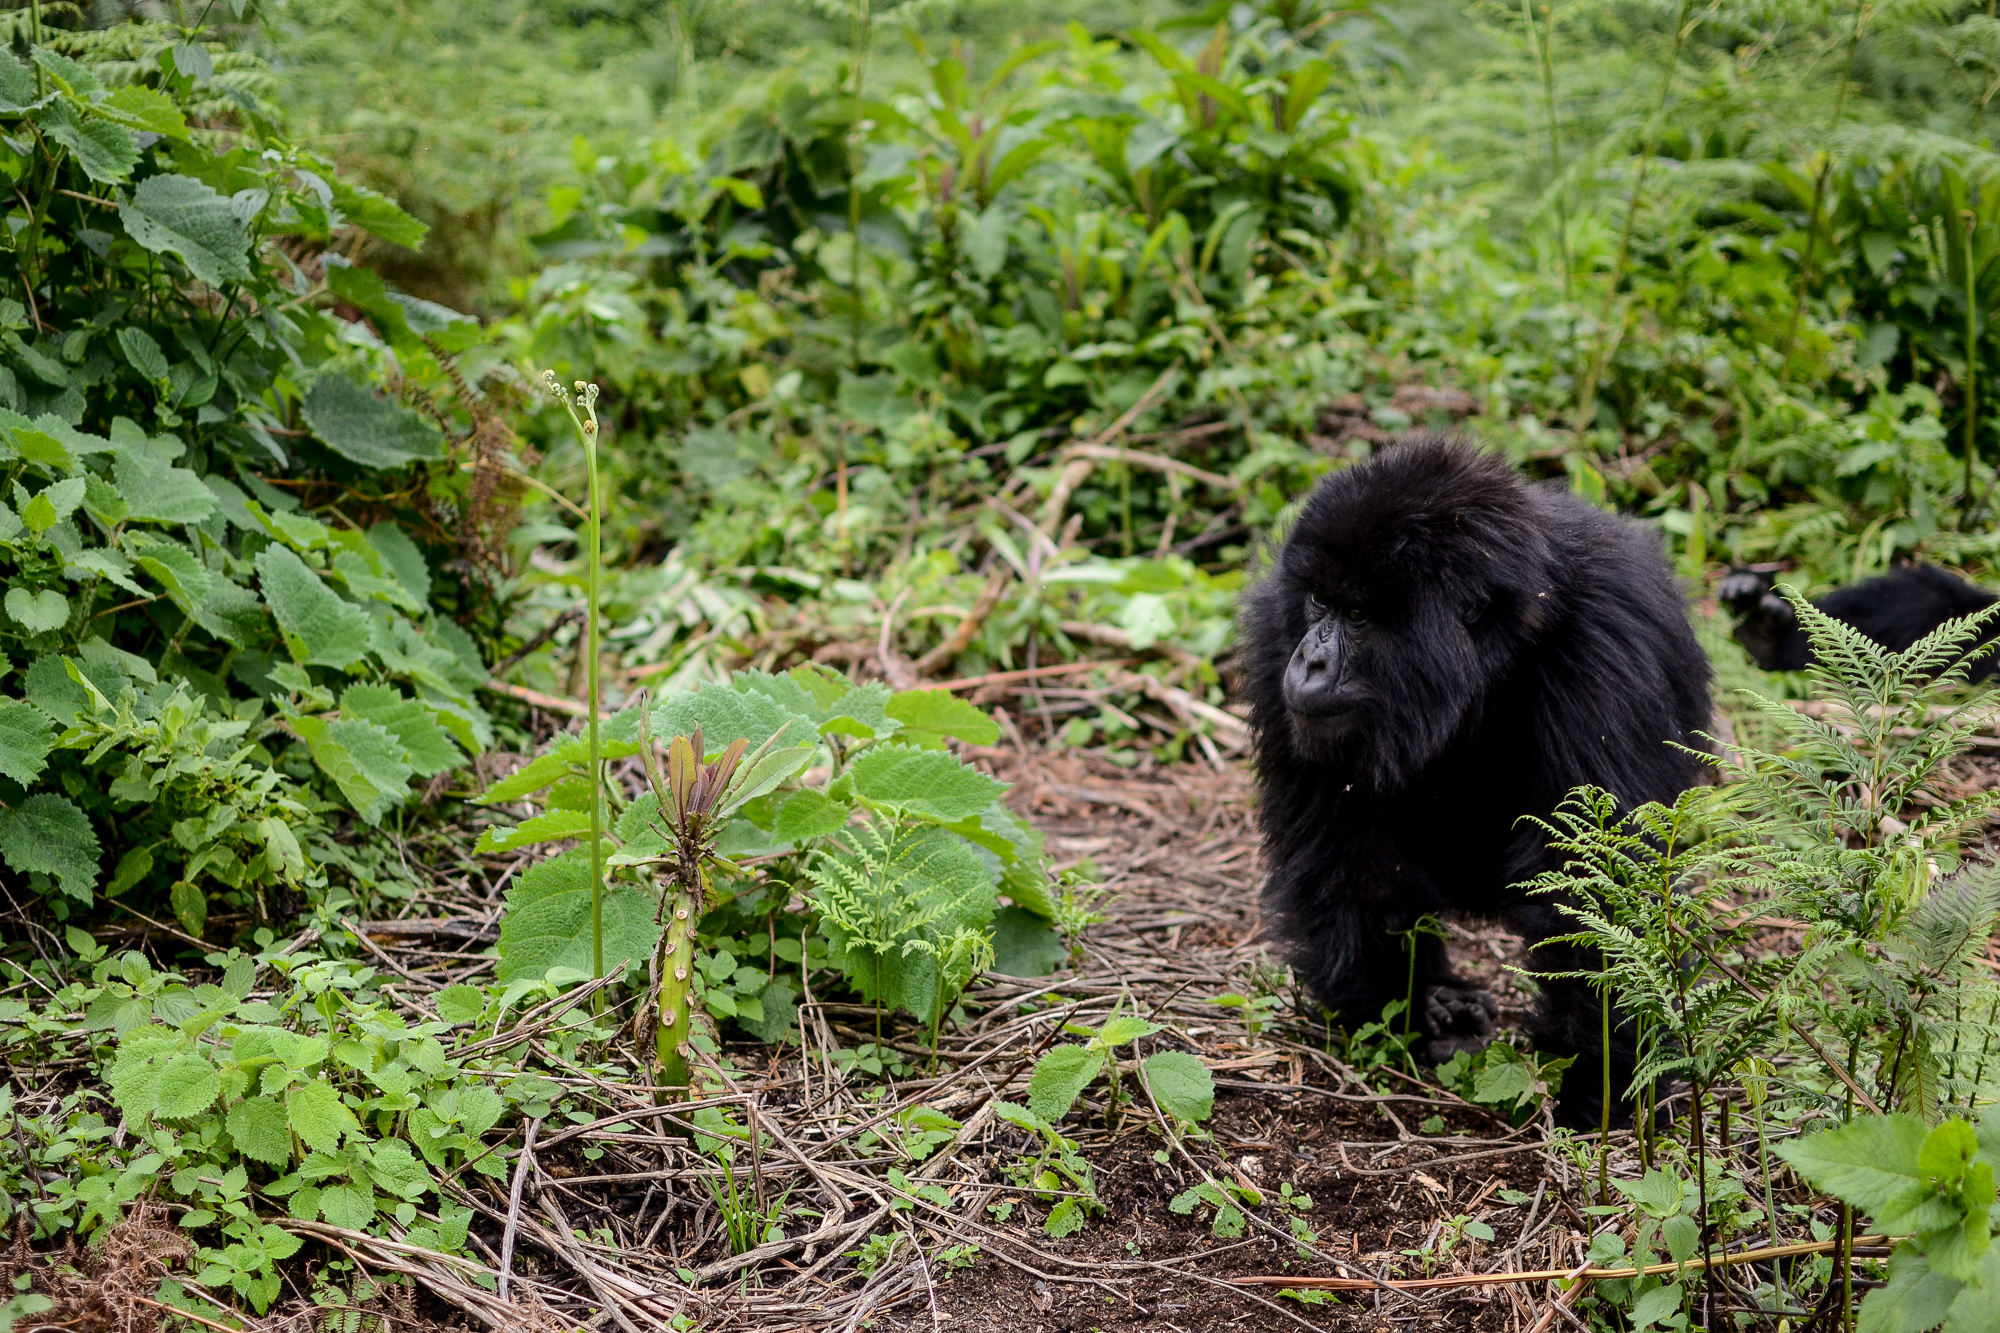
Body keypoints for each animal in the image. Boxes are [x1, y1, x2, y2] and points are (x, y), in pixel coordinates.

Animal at [1240, 436, 1712, 1120]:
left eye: (1357, 614)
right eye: (1317, 603)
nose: (1311, 661)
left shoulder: (1612, 646)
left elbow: (1593, 886)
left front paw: (1597, 1078)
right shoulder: (1273, 636)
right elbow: (1354, 863)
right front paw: (1407, 1016)